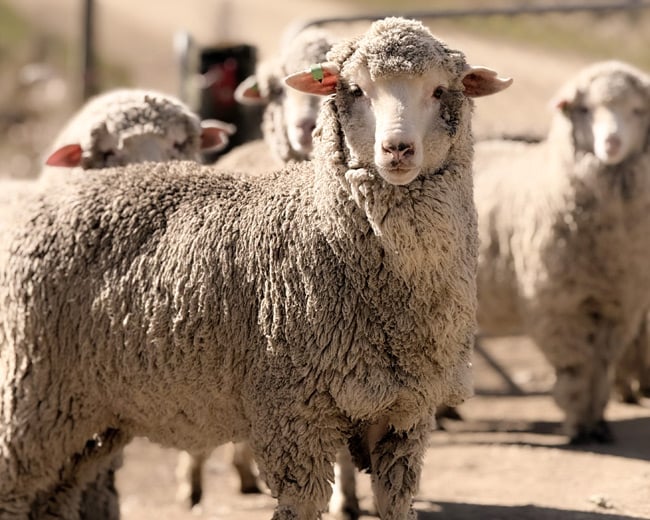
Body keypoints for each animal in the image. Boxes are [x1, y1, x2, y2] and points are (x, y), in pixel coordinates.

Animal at [473, 60, 650, 444]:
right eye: (585, 109)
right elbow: (577, 367)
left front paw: (598, 422)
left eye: (637, 110)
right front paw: (579, 425)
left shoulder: (619, 308)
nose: (612, 142)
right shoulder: (558, 307)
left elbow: (600, 366)